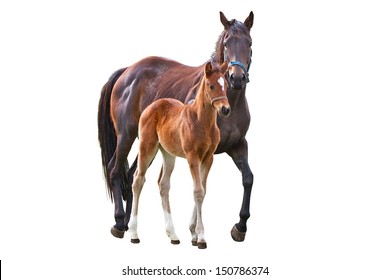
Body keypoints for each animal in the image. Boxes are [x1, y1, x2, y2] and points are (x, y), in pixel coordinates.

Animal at [129, 61, 230, 249]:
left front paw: (193, 234)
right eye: (211, 86)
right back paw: (133, 233)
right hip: (146, 147)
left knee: (163, 185)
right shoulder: (192, 157)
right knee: (138, 180)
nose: (225, 109)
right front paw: (201, 237)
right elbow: (198, 191)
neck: (203, 122)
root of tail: (150, 106)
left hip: (168, 154)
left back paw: (173, 235)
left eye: (226, 85)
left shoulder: (208, 158)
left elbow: (203, 190)